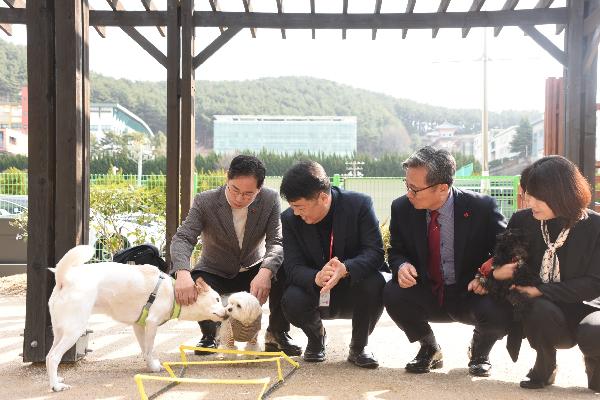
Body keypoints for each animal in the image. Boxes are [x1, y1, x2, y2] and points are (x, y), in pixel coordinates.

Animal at [45, 245, 227, 392]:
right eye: (217, 299)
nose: (226, 312)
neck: (174, 293)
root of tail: (64, 278)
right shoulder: (152, 323)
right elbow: (150, 349)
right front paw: (154, 367)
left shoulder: (138, 326)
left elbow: (145, 350)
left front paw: (150, 366)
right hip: (74, 330)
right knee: (53, 357)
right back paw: (56, 386)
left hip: (59, 331)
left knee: (49, 355)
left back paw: (56, 378)